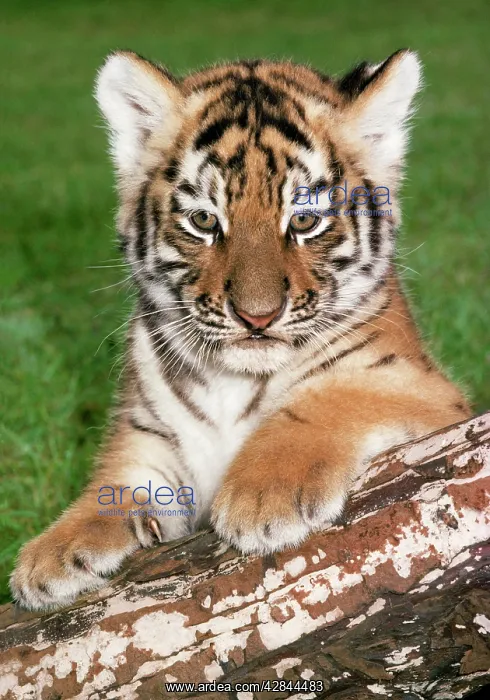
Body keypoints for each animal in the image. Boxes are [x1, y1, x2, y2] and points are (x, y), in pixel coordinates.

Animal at [10, 49, 471, 611]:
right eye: (205, 221)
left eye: (305, 221)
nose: (257, 317)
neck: (233, 380)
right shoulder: (150, 432)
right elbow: (123, 476)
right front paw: (54, 551)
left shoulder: (426, 393)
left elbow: (332, 396)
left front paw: (263, 495)